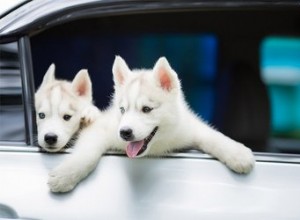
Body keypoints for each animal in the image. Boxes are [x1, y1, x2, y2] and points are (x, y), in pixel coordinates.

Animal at [48, 56, 254, 192]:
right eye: (122, 110)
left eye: (146, 109)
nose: (124, 132)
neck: (158, 145)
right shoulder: (101, 128)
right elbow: (87, 154)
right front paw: (66, 175)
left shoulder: (188, 127)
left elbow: (213, 136)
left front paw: (238, 153)